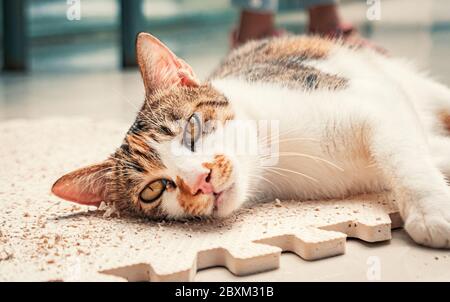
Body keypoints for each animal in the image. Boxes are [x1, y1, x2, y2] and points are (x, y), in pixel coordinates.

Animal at [52, 31, 450, 248]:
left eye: (192, 128)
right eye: (153, 190)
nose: (201, 180)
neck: (272, 158)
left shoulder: (371, 100)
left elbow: (401, 151)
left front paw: (432, 210)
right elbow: (427, 149)